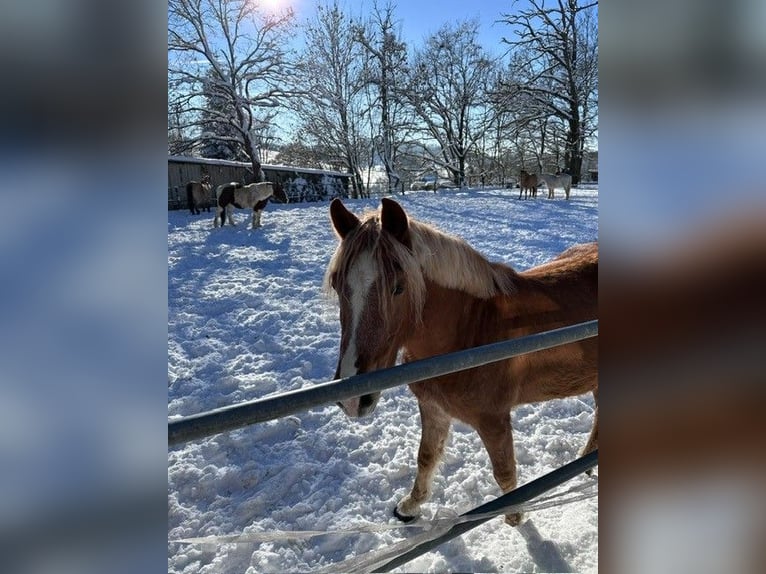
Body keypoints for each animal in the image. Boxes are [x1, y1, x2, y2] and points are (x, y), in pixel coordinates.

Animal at [324, 200, 600, 528]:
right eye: (337, 285)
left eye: (398, 287)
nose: (353, 399)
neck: (471, 332)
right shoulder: (433, 407)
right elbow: (426, 456)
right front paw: (410, 507)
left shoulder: (494, 420)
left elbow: (504, 473)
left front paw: (515, 517)